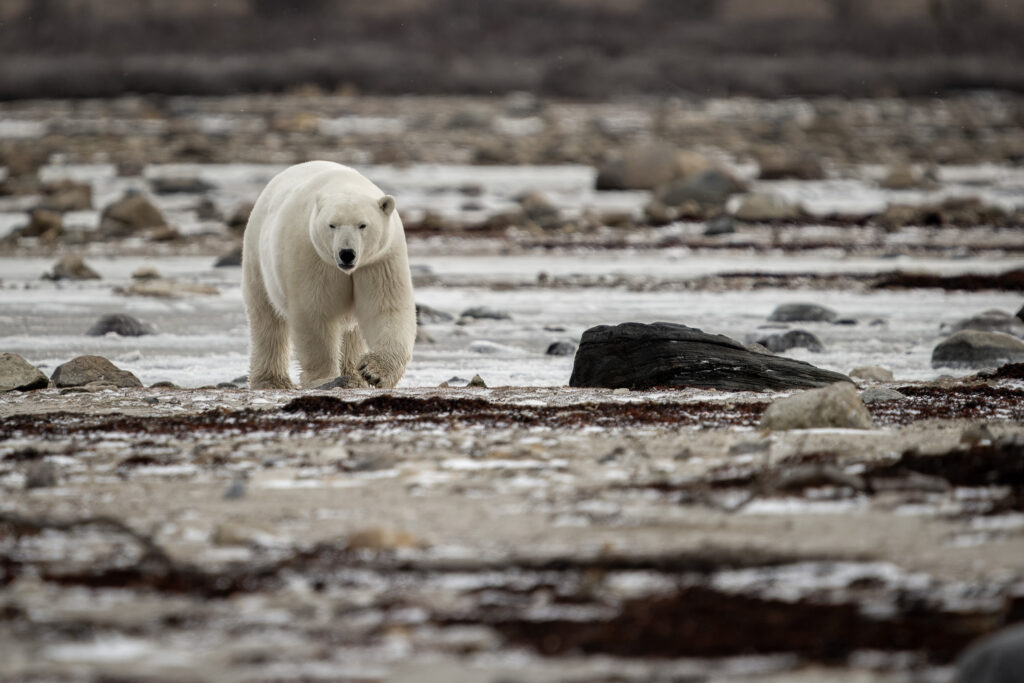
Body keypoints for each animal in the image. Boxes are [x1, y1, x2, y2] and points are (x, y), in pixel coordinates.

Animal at [242, 161, 416, 390]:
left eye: (362, 225)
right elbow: (315, 311)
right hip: (257, 258)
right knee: (266, 319)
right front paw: (323, 379)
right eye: (332, 225)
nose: (346, 253)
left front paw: (373, 372)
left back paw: (353, 377)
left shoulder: (380, 259)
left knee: (352, 332)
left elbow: (386, 305)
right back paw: (272, 381)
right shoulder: (312, 256)